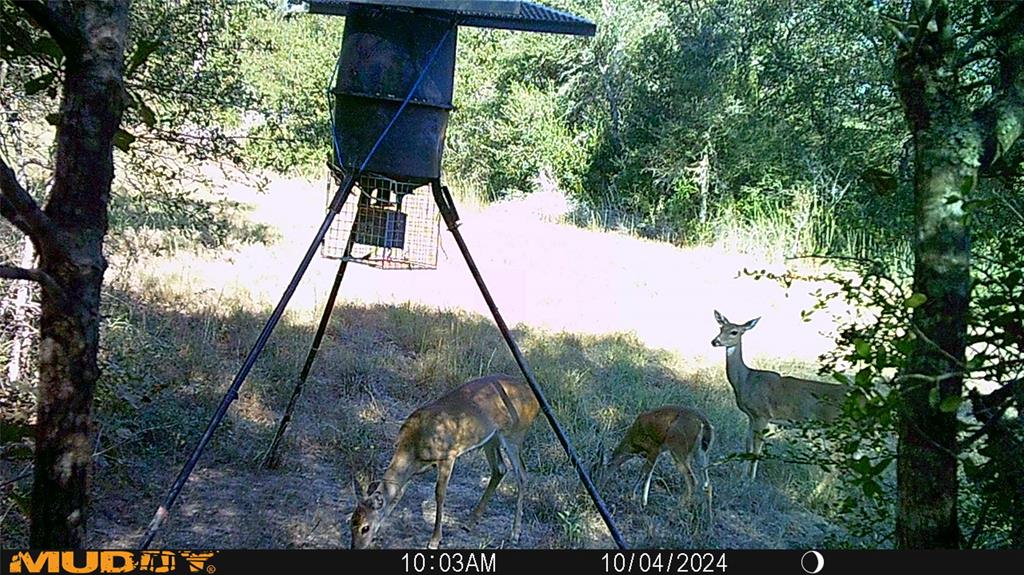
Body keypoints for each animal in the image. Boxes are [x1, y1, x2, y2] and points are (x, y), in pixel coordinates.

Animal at [352, 372, 540, 544]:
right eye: (351, 522)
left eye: (365, 528)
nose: (357, 547)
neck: (413, 445)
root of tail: (535, 400)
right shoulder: (414, 469)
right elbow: (397, 495)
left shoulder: (448, 455)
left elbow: (439, 494)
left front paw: (434, 540)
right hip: (491, 437)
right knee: (500, 468)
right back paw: (469, 523)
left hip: (515, 434)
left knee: (522, 474)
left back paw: (515, 534)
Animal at [712, 308, 847, 478]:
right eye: (721, 328)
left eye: (734, 332)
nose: (714, 341)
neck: (746, 380)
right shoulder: (751, 416)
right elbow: (748, 445)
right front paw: (742, 476)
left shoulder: (763, 414)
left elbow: (756, 450)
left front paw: (751, 479)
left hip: (835, 427)